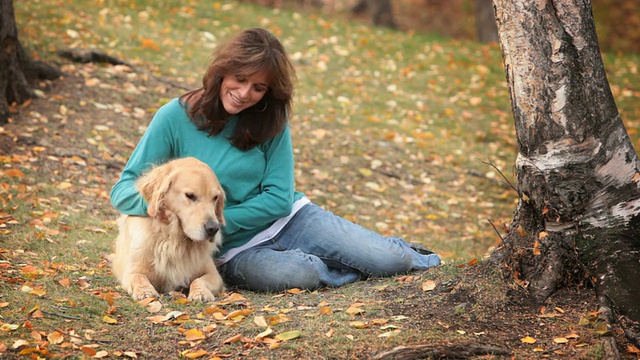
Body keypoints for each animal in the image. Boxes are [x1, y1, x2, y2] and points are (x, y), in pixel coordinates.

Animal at [112, 158, 225, 300]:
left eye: (215, 198)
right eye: (190, 195)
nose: (213, 228)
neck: (174, 240)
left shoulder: (214, 274)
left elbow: (198, 280)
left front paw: (200, 293)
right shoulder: (132, 271)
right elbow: (139, 277)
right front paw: (145, 291)